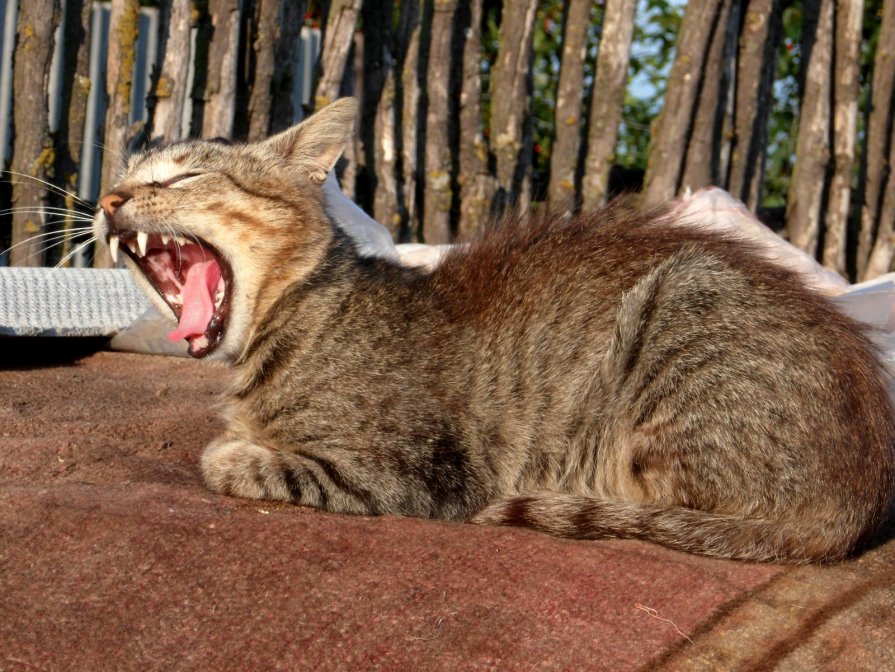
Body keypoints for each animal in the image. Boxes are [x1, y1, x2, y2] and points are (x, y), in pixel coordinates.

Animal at [94, 97, 895, 564]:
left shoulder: (415, 474)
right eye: (123, 177)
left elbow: (233, 460)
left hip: (680, 298)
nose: (107, 199)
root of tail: (861, 492)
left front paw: (231, 449)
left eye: (179, 177)